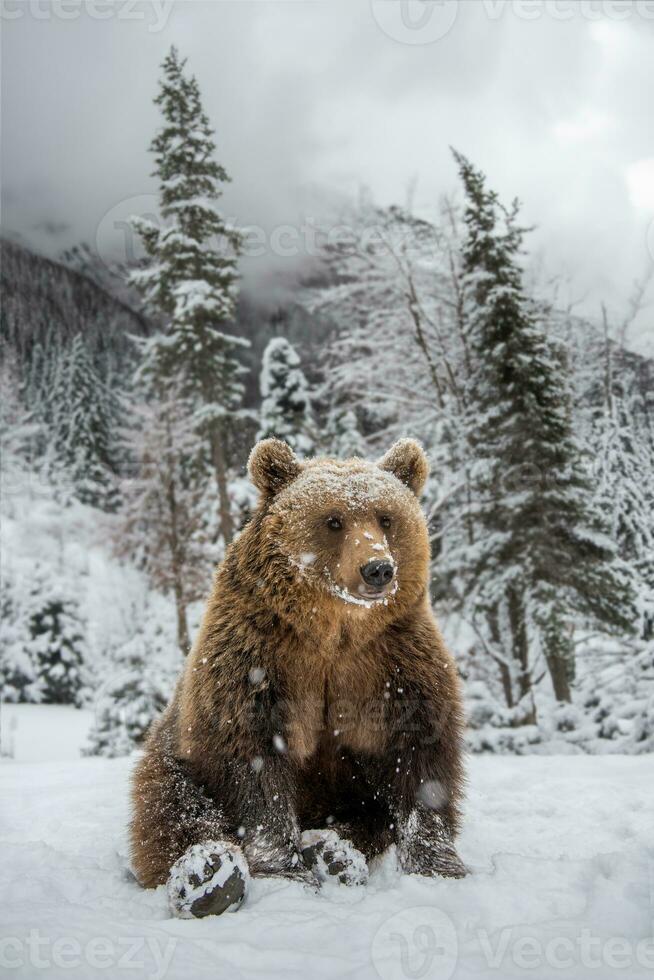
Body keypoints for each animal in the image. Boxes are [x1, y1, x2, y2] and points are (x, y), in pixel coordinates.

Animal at [129, 440, 466, 916]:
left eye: (386, 517)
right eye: (333, 520)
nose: (377, 568)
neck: (334, 632)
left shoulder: (394, 664)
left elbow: (422, 759)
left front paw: (437, 865)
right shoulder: (258, 660)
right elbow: (256, 767)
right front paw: (283, 869)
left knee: (370, 815)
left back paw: (333, 854)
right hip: (177, 749)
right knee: (172, 806)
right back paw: (209, 875)